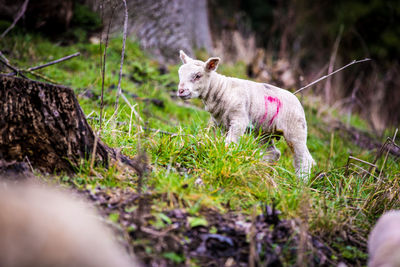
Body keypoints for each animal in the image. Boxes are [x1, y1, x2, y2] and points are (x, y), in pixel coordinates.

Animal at [177, 50, 314, 180]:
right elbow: (223, 141)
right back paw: (258, 166)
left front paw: (227, 157)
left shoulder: (239, 119)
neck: (221, 89)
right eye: (180, 74)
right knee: (274, 153)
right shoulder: (221, 124)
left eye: (198, 76)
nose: (180, 91)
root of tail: (298, 102)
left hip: (295, 130)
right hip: (264, 131)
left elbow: (230, 142)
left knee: (303, 158)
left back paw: (301, 182)